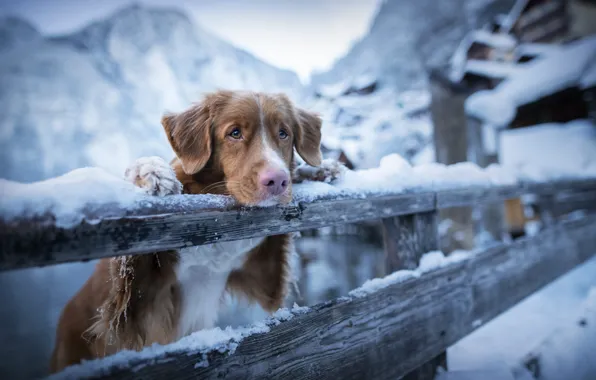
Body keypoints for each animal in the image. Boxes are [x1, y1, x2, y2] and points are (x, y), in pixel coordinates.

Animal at [50, 90, 342, 372]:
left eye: (283, 133)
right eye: (234, 133)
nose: (278, 180)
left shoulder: (263, 273)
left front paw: (319, 168)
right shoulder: (136, 302)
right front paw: (152, 172)